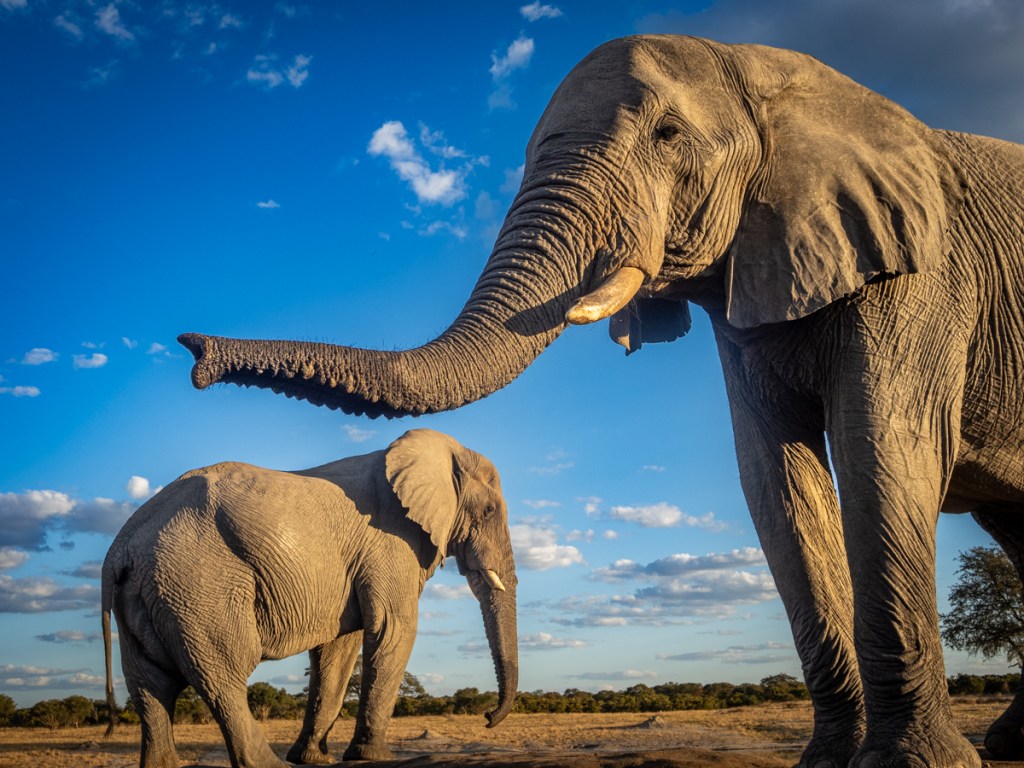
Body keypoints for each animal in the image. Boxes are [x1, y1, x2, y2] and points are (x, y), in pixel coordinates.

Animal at [100, 428, 518, 768]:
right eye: (489, 510)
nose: (486, 717)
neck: (443, 451)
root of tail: (119, 548)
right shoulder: (391, 542)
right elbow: (393, 629)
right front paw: (374, 756)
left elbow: (339, 648)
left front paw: (314, 759)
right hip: (197, 582)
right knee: (223, 673)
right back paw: (268, 765)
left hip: (148, 591)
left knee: (150, 685)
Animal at [176, 34, 1024, 768]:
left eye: (670, 135)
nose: (193, 354)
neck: (770, 73)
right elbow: (776, 485)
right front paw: (827, 763)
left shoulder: (921, 271)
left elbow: (882, 449)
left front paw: (913, 765)